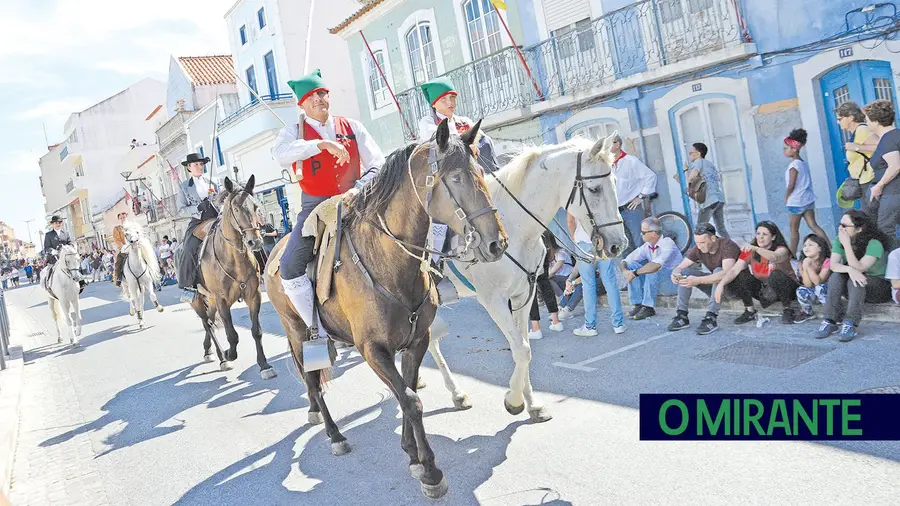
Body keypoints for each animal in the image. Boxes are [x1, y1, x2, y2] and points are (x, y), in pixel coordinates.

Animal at [190, 176, 274, 378]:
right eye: (236, 209)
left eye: (255, 207)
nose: (255, 242)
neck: (235, 258)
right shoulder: (222, 300)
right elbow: (232, 335)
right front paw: (229, 354)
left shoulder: (253, 295)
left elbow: (256, 331)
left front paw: (264, 365)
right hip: (198, 300)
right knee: (207, 323)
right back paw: (222, 357)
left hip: (211, 300)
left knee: (210, 323)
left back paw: (209, 350)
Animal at [266, 119, 506, 498]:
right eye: (455, 178)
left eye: (481, 172)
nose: (496, 243)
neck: (388, 261)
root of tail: (273, 250)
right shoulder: (373, 350)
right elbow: (410, 400)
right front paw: (430, 471)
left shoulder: (416, 341)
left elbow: (408, 391)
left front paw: (412, 453)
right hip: (297, 332)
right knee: (313, 381)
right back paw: (334, 434)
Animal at [428, 133, 624, 422]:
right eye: (595, 189)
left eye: (614, 183)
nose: (617, 244)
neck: (514, 228)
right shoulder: (494, 300)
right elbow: (521, 349)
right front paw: (514, 400)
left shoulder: (524, 294)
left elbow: (524, 348)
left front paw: (532, 404)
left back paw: (452, 393)